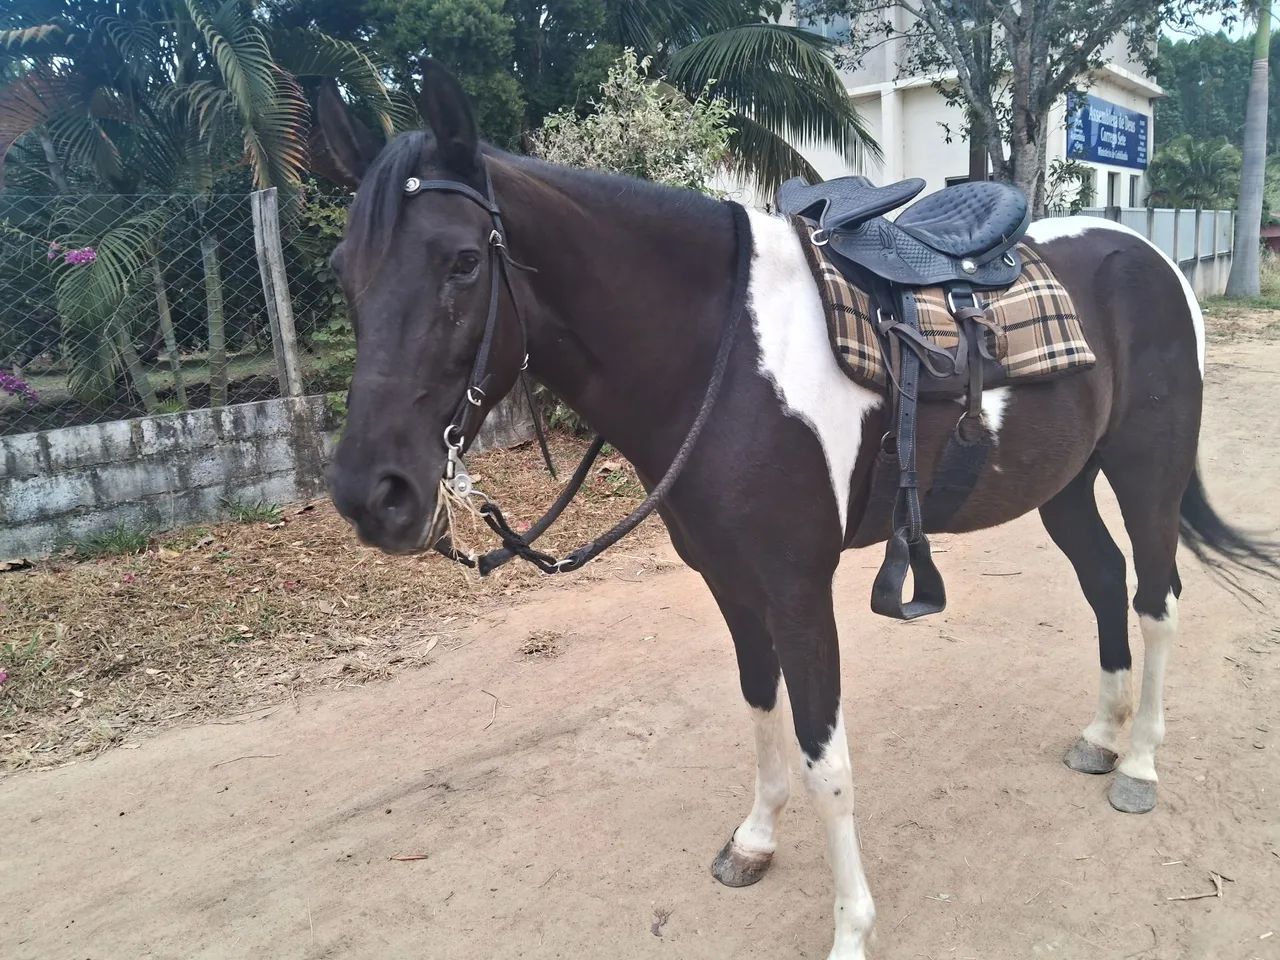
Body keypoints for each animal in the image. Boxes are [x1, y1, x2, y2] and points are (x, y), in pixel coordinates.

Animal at [317, 63, 1271, 959]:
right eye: (342, 273)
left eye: (461, 261)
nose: (373, 494)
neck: (721, 354)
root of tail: (1146, 255)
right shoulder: (733, 585)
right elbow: (758, 708)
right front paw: (755, 839)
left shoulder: (798, 590)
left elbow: (826, 761)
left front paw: (850, 929)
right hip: (1064, 484)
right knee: (1105, 581)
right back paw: (1102, 737)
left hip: (1146, 472)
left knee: (1155, 598)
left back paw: (1139, 763)